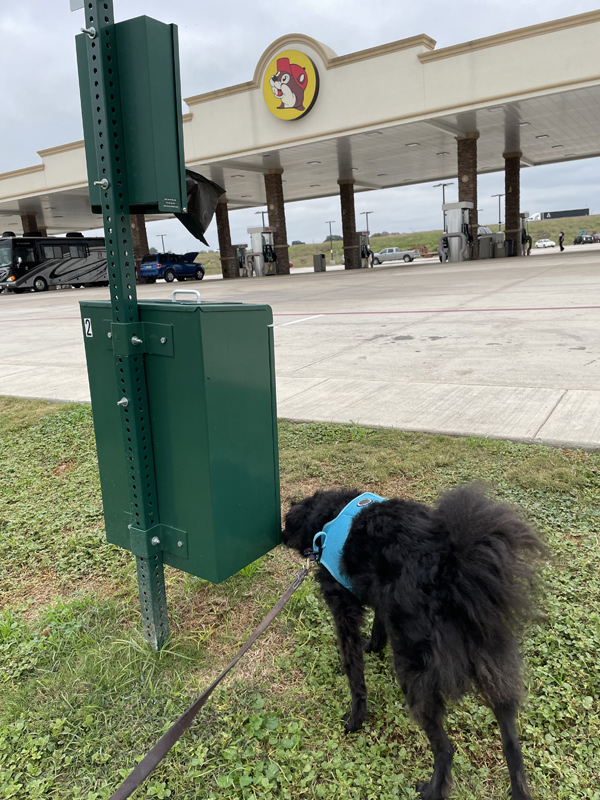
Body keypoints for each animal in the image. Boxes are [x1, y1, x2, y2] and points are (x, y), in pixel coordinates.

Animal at [282, 484, 544, 800]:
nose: (280, 536)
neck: (328, 518)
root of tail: (451, 568)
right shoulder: (382, 596)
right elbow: (379, 623)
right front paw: (374, 646)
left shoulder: (343, 611)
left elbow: (354, 672)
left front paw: (356, 719)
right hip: (492, 664)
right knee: (511, 742)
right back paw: (518, 789)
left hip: (414, 672)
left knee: (445, 748)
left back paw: (433, 789)